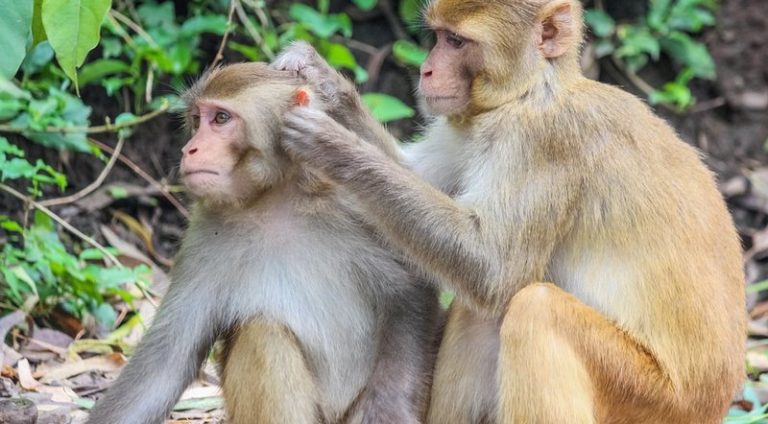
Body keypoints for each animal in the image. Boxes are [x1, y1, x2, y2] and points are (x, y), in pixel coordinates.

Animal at [85, 62, 440, 424]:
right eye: (197, 120)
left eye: (221, 118)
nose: (189, 150)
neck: (274, 200)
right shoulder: (203, 235)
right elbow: (164, 367)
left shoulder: (359, 205)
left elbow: (409, 290)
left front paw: (388, 406)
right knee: (262, 332)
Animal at [272, 0, 747, 422]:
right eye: (437, 36)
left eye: (457, 42)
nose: (426, 71)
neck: (532, 89)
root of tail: (716, 402)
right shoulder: (469, 127)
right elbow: (421, 180)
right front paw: (321, 78)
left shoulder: (542, 140)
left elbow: (493, 269)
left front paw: (333, 147)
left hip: (648, 399)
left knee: (533, 307)